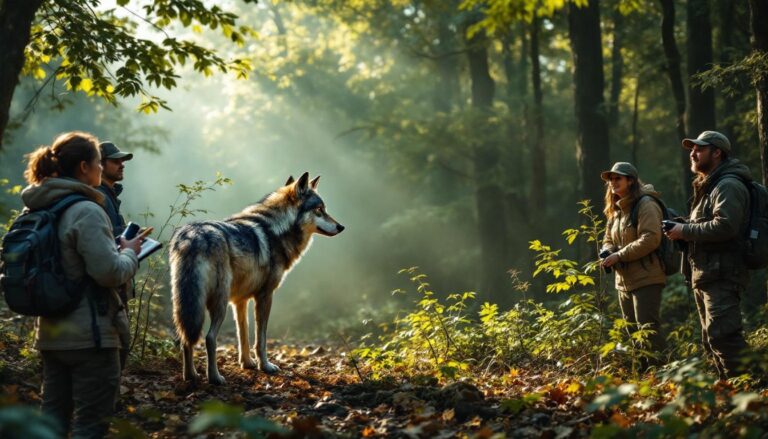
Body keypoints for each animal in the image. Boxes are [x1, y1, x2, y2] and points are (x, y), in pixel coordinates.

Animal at [170, 172, 344, 384]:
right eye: (319, 210)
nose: (341, 226)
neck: (276, 230)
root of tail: (193, 237)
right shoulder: (265, 296)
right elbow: (261, 339)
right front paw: (265, 366)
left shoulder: (239, 301)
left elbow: (243, 335)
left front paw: (247, 363)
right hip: (218, 303)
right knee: (209, 338)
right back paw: (215, 377)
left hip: (189, 304)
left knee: (185, 338)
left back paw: (190, 376)